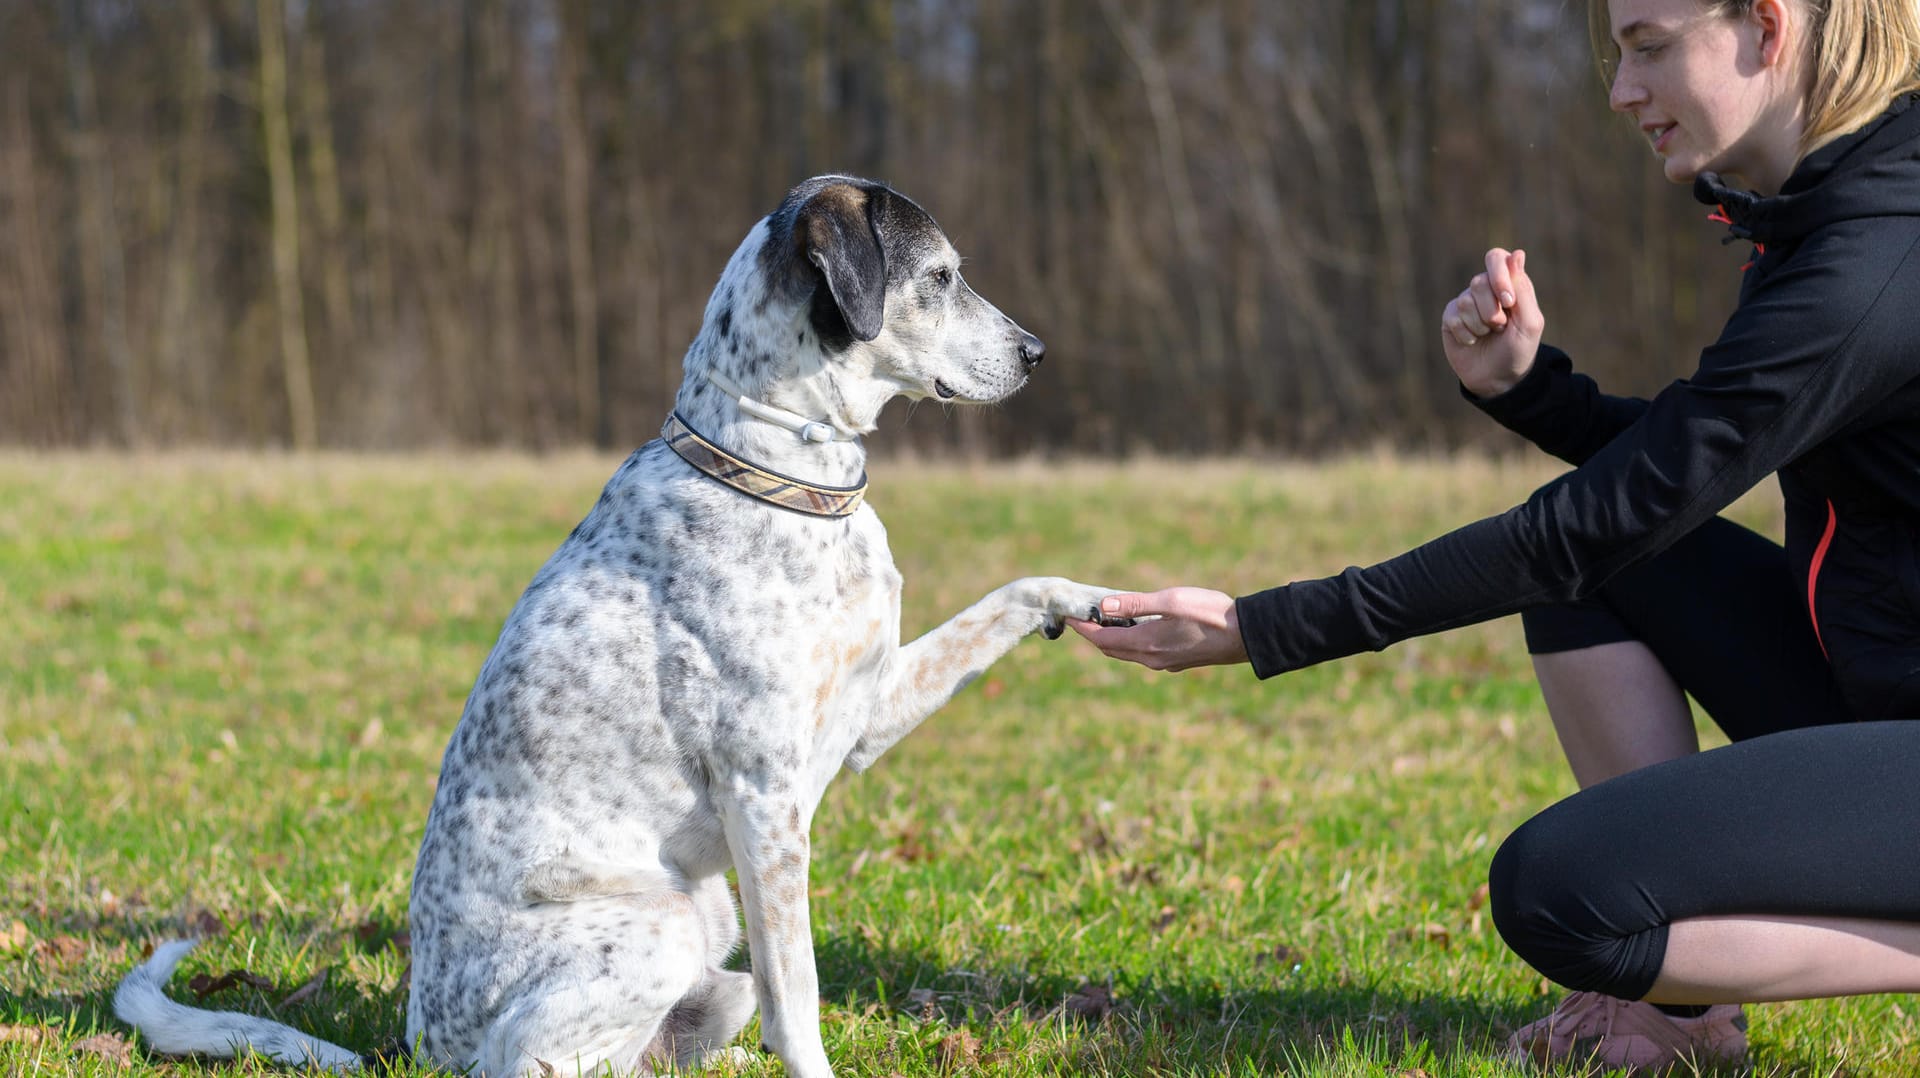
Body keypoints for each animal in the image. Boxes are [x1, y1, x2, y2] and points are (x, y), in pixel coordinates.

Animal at [116, 171, 1121, 1068]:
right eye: (941, 276)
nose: (1037, 352)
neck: (782, 473)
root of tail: (412, 1046)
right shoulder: (766, 800)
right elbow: (799, 1003)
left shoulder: (865, 718)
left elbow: (1007, 597)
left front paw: (1087, 602)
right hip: (664, 922)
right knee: (532, 1062)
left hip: (709, 925)